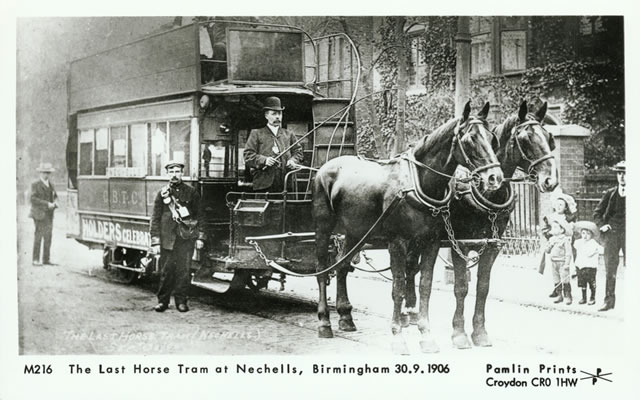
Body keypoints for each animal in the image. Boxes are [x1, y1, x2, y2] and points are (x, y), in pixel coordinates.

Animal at [312, 101, 502, 354]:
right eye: (470, 138)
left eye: (492, 138)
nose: (495, 177)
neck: (418, 182)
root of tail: (326, 167)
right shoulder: (398, 242)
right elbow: (399, 287)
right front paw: (397, 337)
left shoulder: (430, 242)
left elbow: (425, 286)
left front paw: (426, 336)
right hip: (323, 229)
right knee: (322, 270)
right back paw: (324, 321)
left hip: (355, 232)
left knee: (342, 267)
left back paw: (345, 318)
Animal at [404, 101, 560, 352]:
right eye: (526, 138)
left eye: (549, 137)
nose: (550, 180)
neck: (483, 193)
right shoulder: (459, 244)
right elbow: (461, 287)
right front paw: (459, 333)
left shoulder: (492, 246)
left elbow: (483, 288)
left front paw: (479, 332)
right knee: (409, 267)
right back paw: (408, 312)